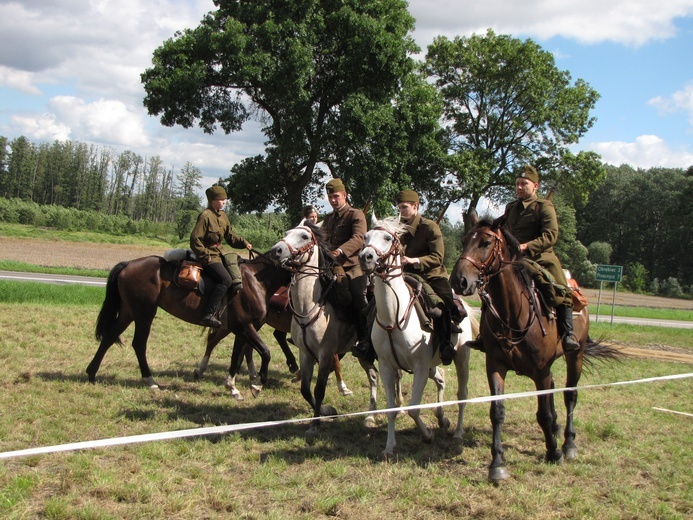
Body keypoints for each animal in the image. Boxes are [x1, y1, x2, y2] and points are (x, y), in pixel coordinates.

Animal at [86, 253, 292, 398]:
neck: (256, 280)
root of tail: (129, 264)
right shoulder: (244, 327)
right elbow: (264, 352)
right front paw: (257, 384)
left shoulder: (241, 329)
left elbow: (237, 356)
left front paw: (234, 388)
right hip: (144, 313)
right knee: (138, 344)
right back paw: (150, 381)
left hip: (128, 312)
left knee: (109, 337)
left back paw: (91, 373)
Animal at [266, 220, 384, 442]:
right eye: (287, 232)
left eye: (304, 236)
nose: (276, 251)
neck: (310, 305)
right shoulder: (305, 353)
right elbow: (305, 389)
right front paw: (327, 411)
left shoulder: (326, 353)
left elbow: (319, 388)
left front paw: (315, 424)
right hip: (360, 353)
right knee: (373, 376)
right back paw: (371, 416)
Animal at [356, 215, 476, 460]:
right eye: (366, 236)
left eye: (388, 238)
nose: (366, 257)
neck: (394, 316)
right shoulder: (387, 367)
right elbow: (392, 409)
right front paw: (389, 446)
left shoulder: (419, 367)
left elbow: (413, 408)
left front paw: (427, 435)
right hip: (433, 365)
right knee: (441, 379)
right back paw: (442, 418)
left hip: (462, 358)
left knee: (462, 392)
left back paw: (458, 432)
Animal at [448, 211, 620, 484]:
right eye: (464, 241)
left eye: (486, 242)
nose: (459, 280)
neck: (513, 312)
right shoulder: (495, 366)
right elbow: (498, 411)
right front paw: (497, 464)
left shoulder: (541, 370)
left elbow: (544, 412)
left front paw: (554, 452)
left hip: (575, 355)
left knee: (570, 395)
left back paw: (568, 443)